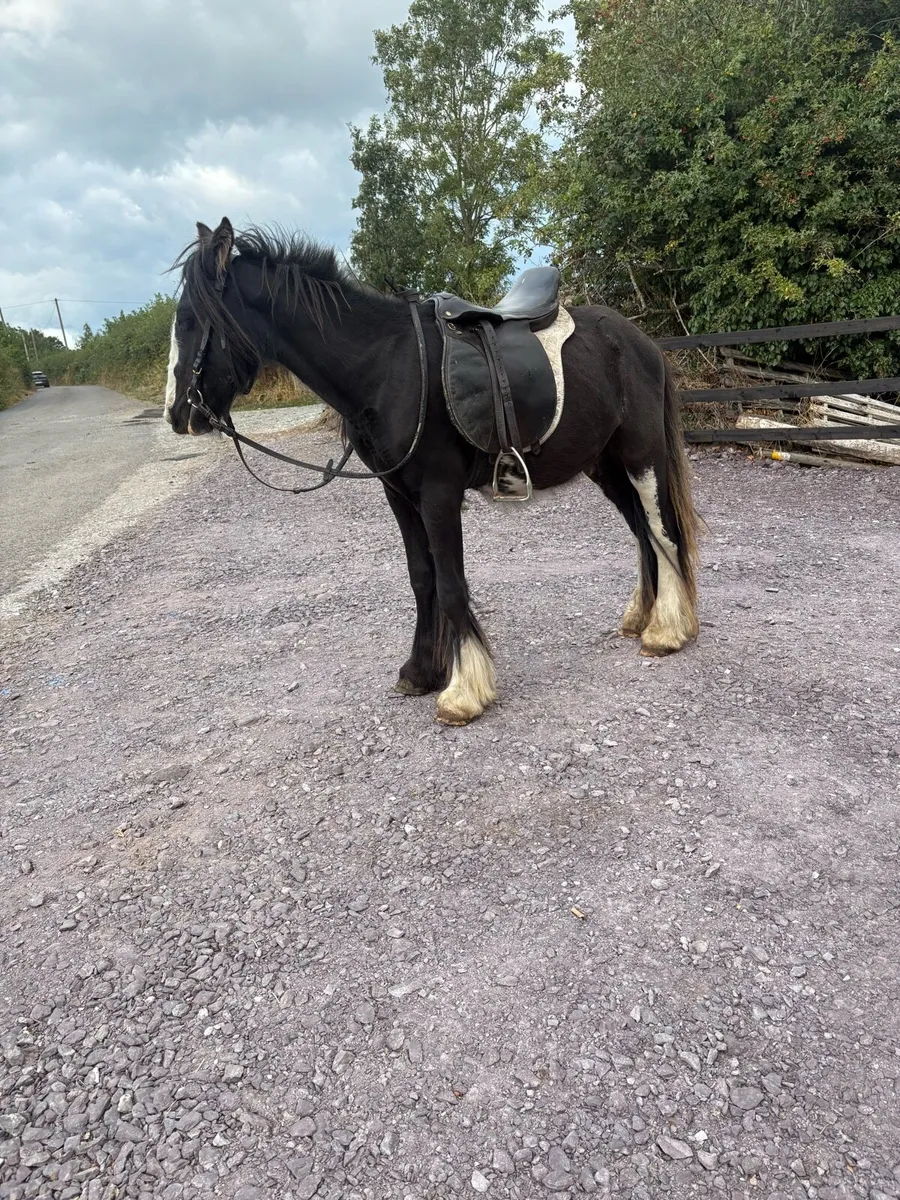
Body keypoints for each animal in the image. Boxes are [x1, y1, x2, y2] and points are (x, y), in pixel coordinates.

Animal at [165, 217, 700, 726]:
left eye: (190, 320)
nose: (176, 415)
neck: (387, 366)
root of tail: (641, 342)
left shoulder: (439, 494)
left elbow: (450, 582)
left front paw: (463, 691)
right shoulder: (398, 493)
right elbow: (421, 578)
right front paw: (421, 671)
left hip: (641, 455)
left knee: (662, 530)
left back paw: (668, 631)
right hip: (605, 466)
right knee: (642, 533)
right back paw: (643, 617)